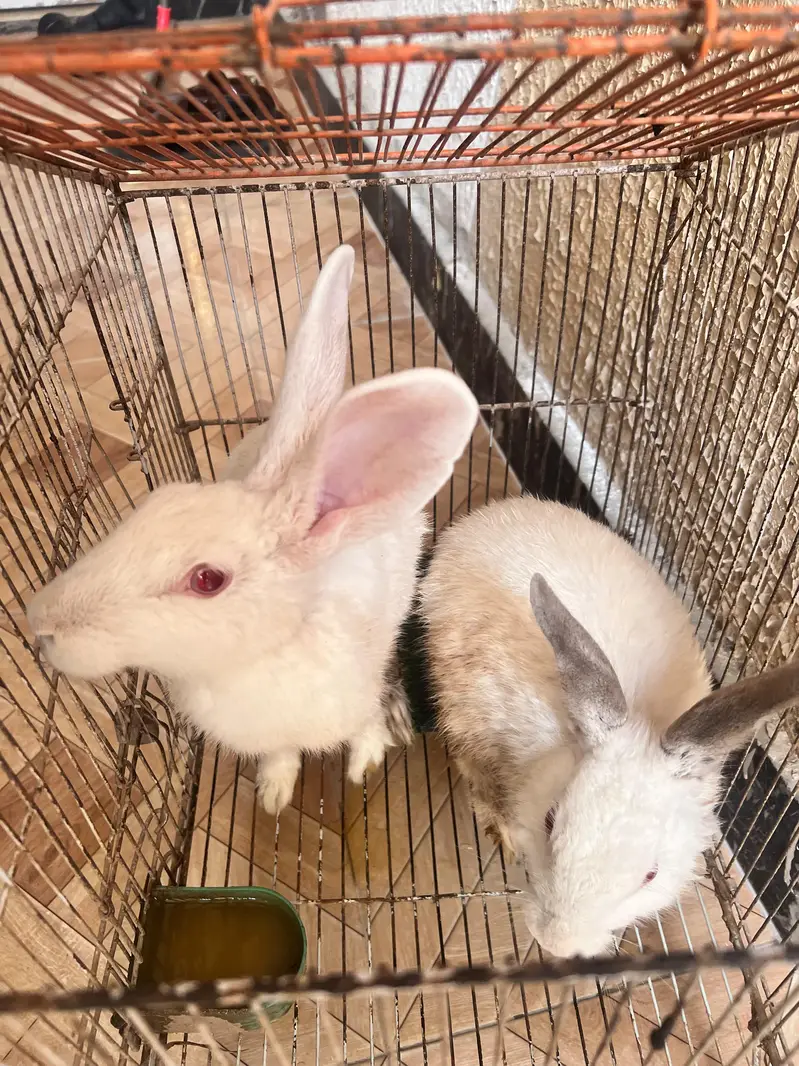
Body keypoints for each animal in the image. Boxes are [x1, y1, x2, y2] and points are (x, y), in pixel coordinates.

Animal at [27, 244, 479, 814]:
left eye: (207, 580)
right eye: (156, 502)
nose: (40, 627)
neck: (261, 656)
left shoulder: (357, 697)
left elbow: (365, 727)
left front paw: (363, 765)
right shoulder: (269, 736)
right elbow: (281, 755)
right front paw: (274, 794)